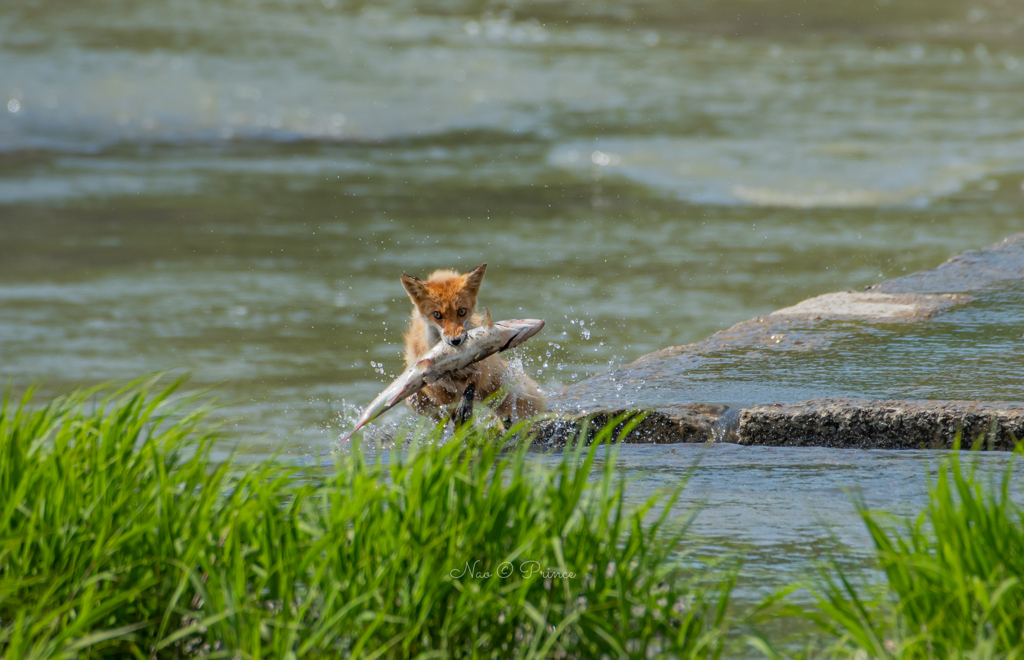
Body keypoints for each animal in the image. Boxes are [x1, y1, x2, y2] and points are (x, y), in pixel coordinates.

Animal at [399, 260, 548, 421]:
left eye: (462, 311)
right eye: (437, 315)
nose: (455, 341)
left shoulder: (479, 366)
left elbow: (471, 386)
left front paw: (465, 408)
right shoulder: (436, 386)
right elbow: (448, 409)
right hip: (414, 401)